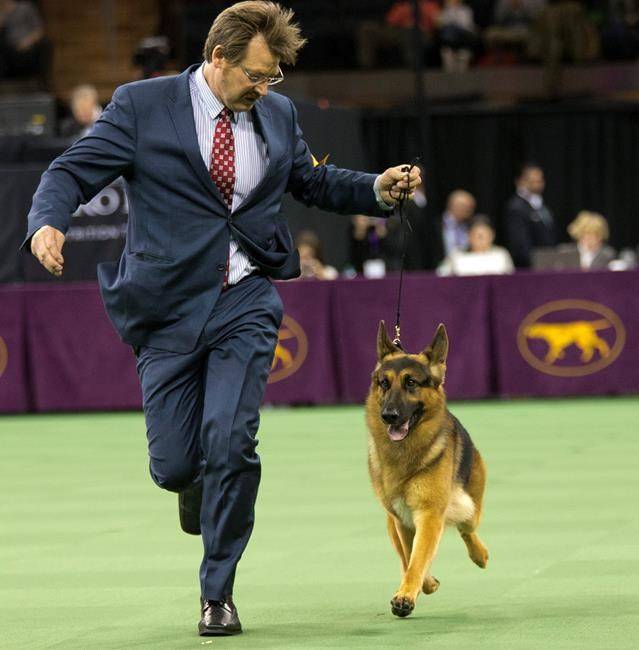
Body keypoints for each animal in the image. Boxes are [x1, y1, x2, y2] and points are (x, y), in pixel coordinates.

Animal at [364, 322, 490, 616]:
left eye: (411, 382)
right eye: (384, 383)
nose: (389, 416)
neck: (404, 453)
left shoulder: (429, 514)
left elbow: (418, 558)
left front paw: (407, 594)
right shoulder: (403, 519)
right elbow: (411, 556)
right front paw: (420, 585)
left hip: (468, 508)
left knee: (467, 529)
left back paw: (480, 555)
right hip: (392, 523)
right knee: (404, 554)